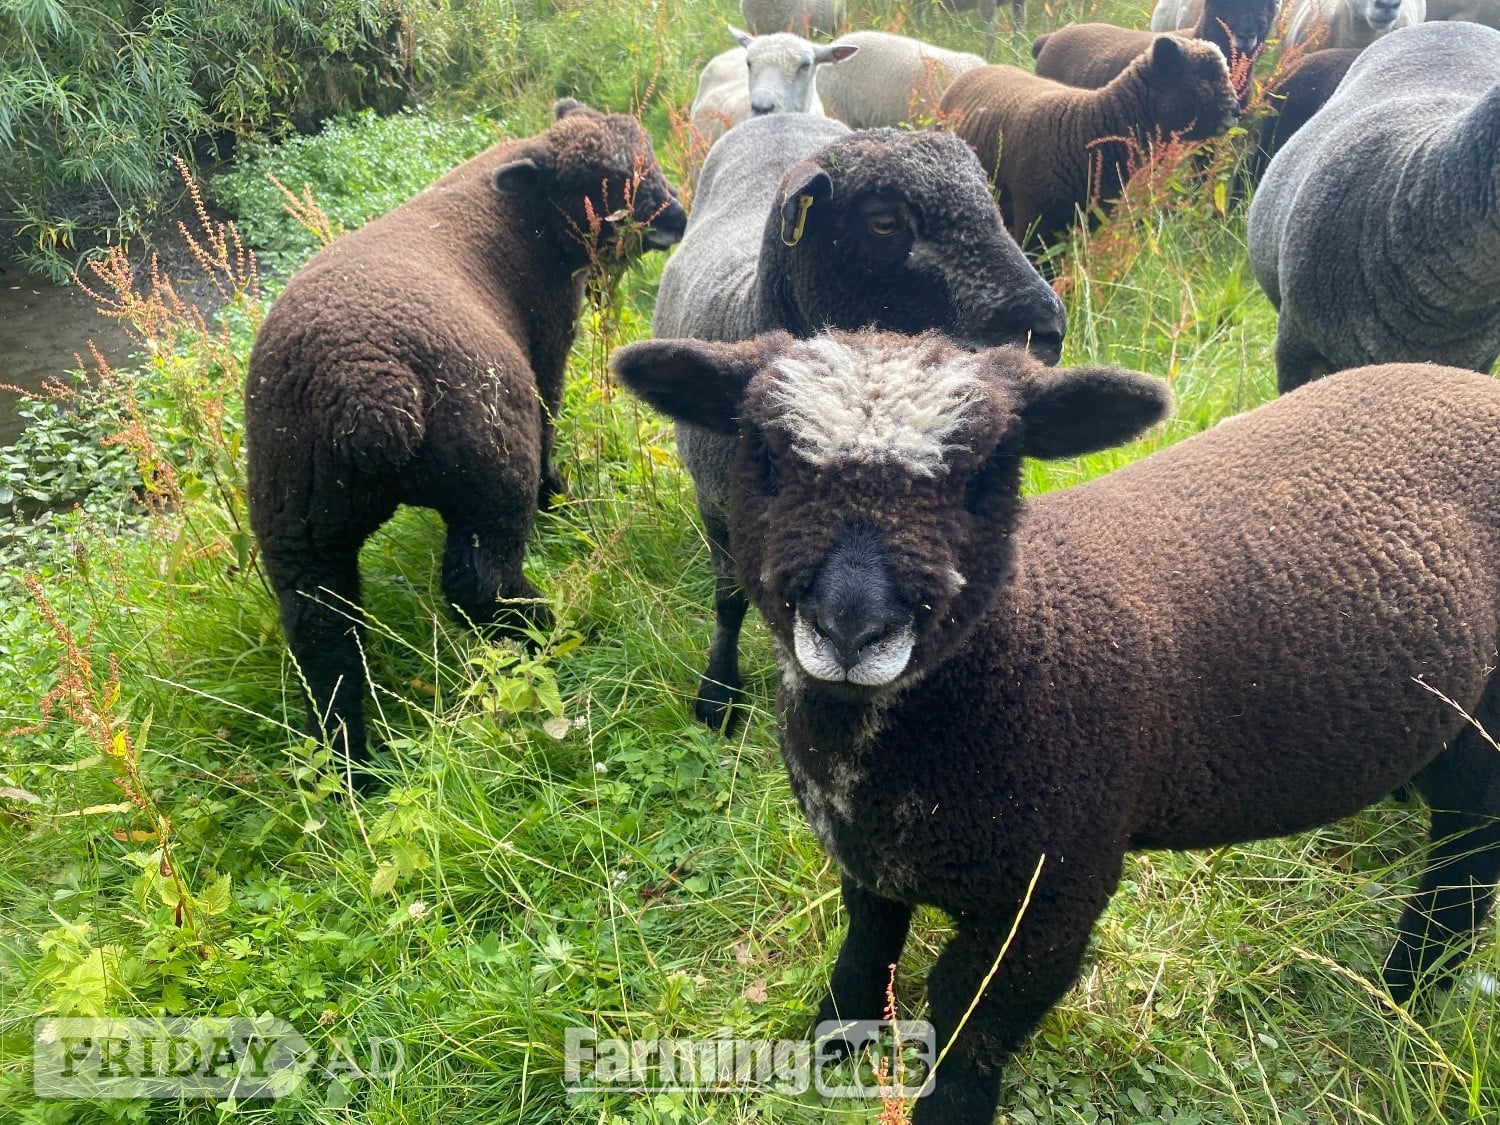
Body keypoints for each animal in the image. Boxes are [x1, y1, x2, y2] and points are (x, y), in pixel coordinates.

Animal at [245, 99, 686, 787]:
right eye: (604, 181)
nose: (678, 219)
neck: (524, 215)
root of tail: (366, 386)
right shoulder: (547, 343)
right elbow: (551, 415)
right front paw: (561, 499)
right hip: (490, 461)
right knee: (477, 581)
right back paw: (545, 628)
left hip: (295, 513)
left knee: (324, 632)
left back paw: (353, 766)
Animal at [613, 326, 1500, 1125]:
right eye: (765, 458)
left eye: (985, 476)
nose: (851, 629)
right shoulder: (866, 854)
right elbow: (868, 945)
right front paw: (829, 1042)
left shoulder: (1057, 889)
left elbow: (969, 1018)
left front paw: (946, 1109)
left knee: (1468, 860)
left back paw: (1405, 994)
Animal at [652, 113, 1067, 731]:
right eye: (885, 221)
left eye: (989, 204)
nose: (1048, 332)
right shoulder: (717, 504)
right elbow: (729, 600)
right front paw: (717, 695)